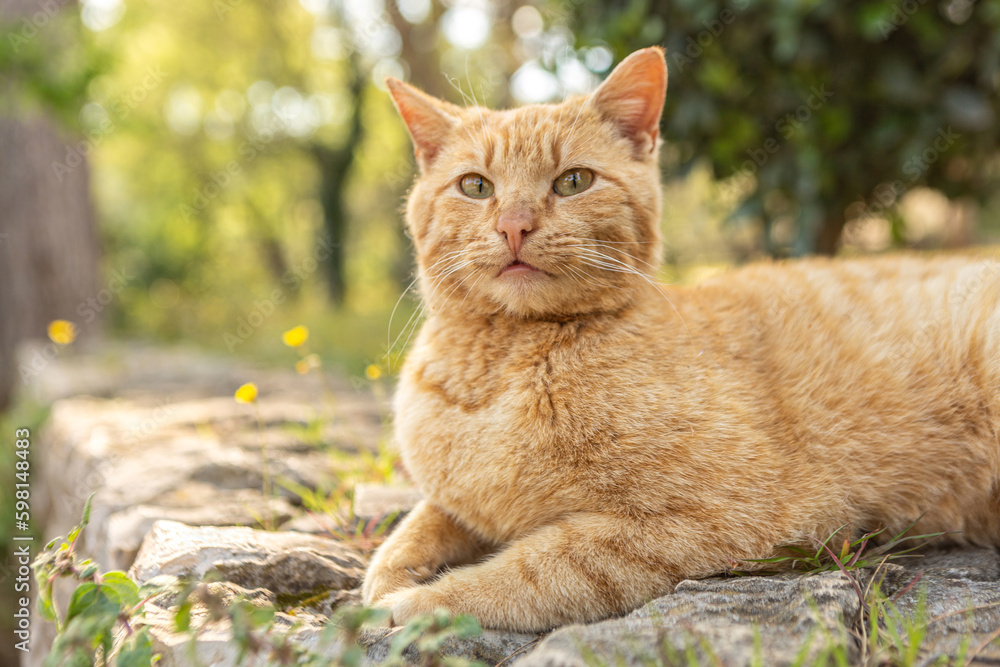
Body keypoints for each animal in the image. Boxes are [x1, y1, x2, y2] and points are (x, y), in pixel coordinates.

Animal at [362, 48, 1000, 636]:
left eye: (573, 182)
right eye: (475, 186)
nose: (514, 225)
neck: (505, 363)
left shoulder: (726, 516)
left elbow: (530, 571)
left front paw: (413, 606)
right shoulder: (460, 502)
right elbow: (413, 528)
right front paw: (388, 578)